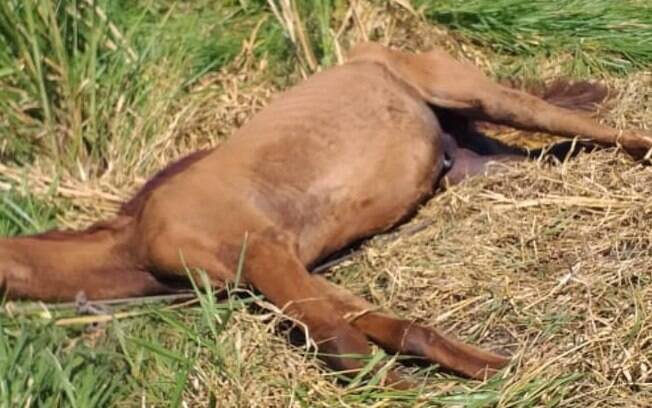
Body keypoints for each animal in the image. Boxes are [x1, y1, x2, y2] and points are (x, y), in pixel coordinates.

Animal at [1, 43, 652, 388]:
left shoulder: (268, 254)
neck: (136, 241)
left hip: (487, 98)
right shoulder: (281, 275)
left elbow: (346, 346)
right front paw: (497, 370)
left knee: (597, 128)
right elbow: (389, 329)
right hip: (478, 164)